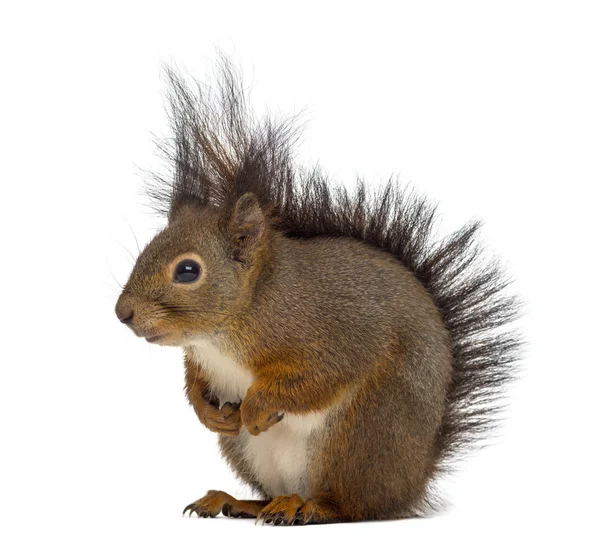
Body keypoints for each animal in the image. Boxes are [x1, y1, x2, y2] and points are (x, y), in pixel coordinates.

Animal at [116, 58, 520, 524]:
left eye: (187, 270)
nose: (122, 312)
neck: (234, 324)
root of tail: (411, 485)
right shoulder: (203, 361)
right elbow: (195, 382)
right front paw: (207, 412)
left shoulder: (335, 334)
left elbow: (317, 379)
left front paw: (255, 406)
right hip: (253, 454)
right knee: (272, 494)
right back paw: (237, 501)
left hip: (361, 433)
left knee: (350, 506)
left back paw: (305, 506)